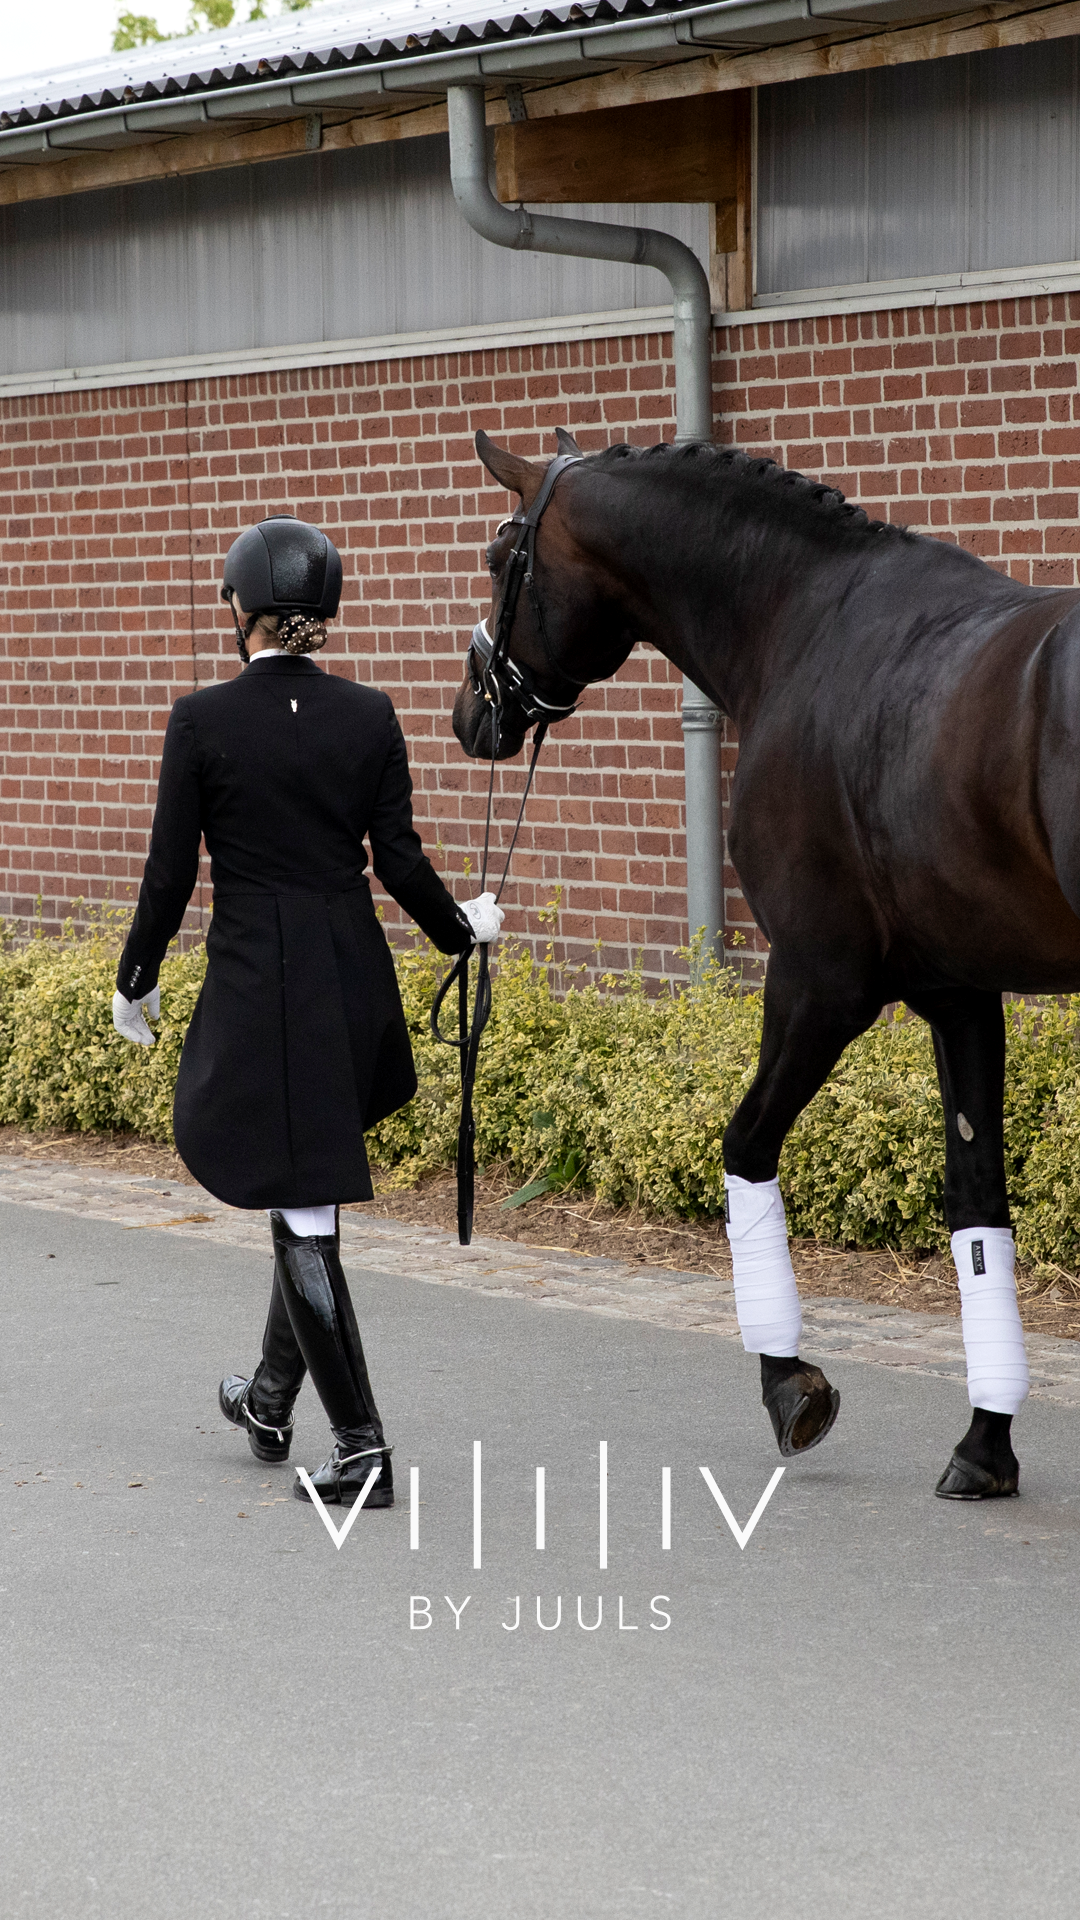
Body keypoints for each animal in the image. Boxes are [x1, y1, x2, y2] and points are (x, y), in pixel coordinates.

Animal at [452, 426, 1080, 1503]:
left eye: (503, 559)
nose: (469, 714)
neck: (804, 621)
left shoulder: (818, 981)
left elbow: (744, 1145)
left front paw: (790, 1385)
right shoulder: (959, 994)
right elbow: (977, 1202)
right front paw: (985, 1441)